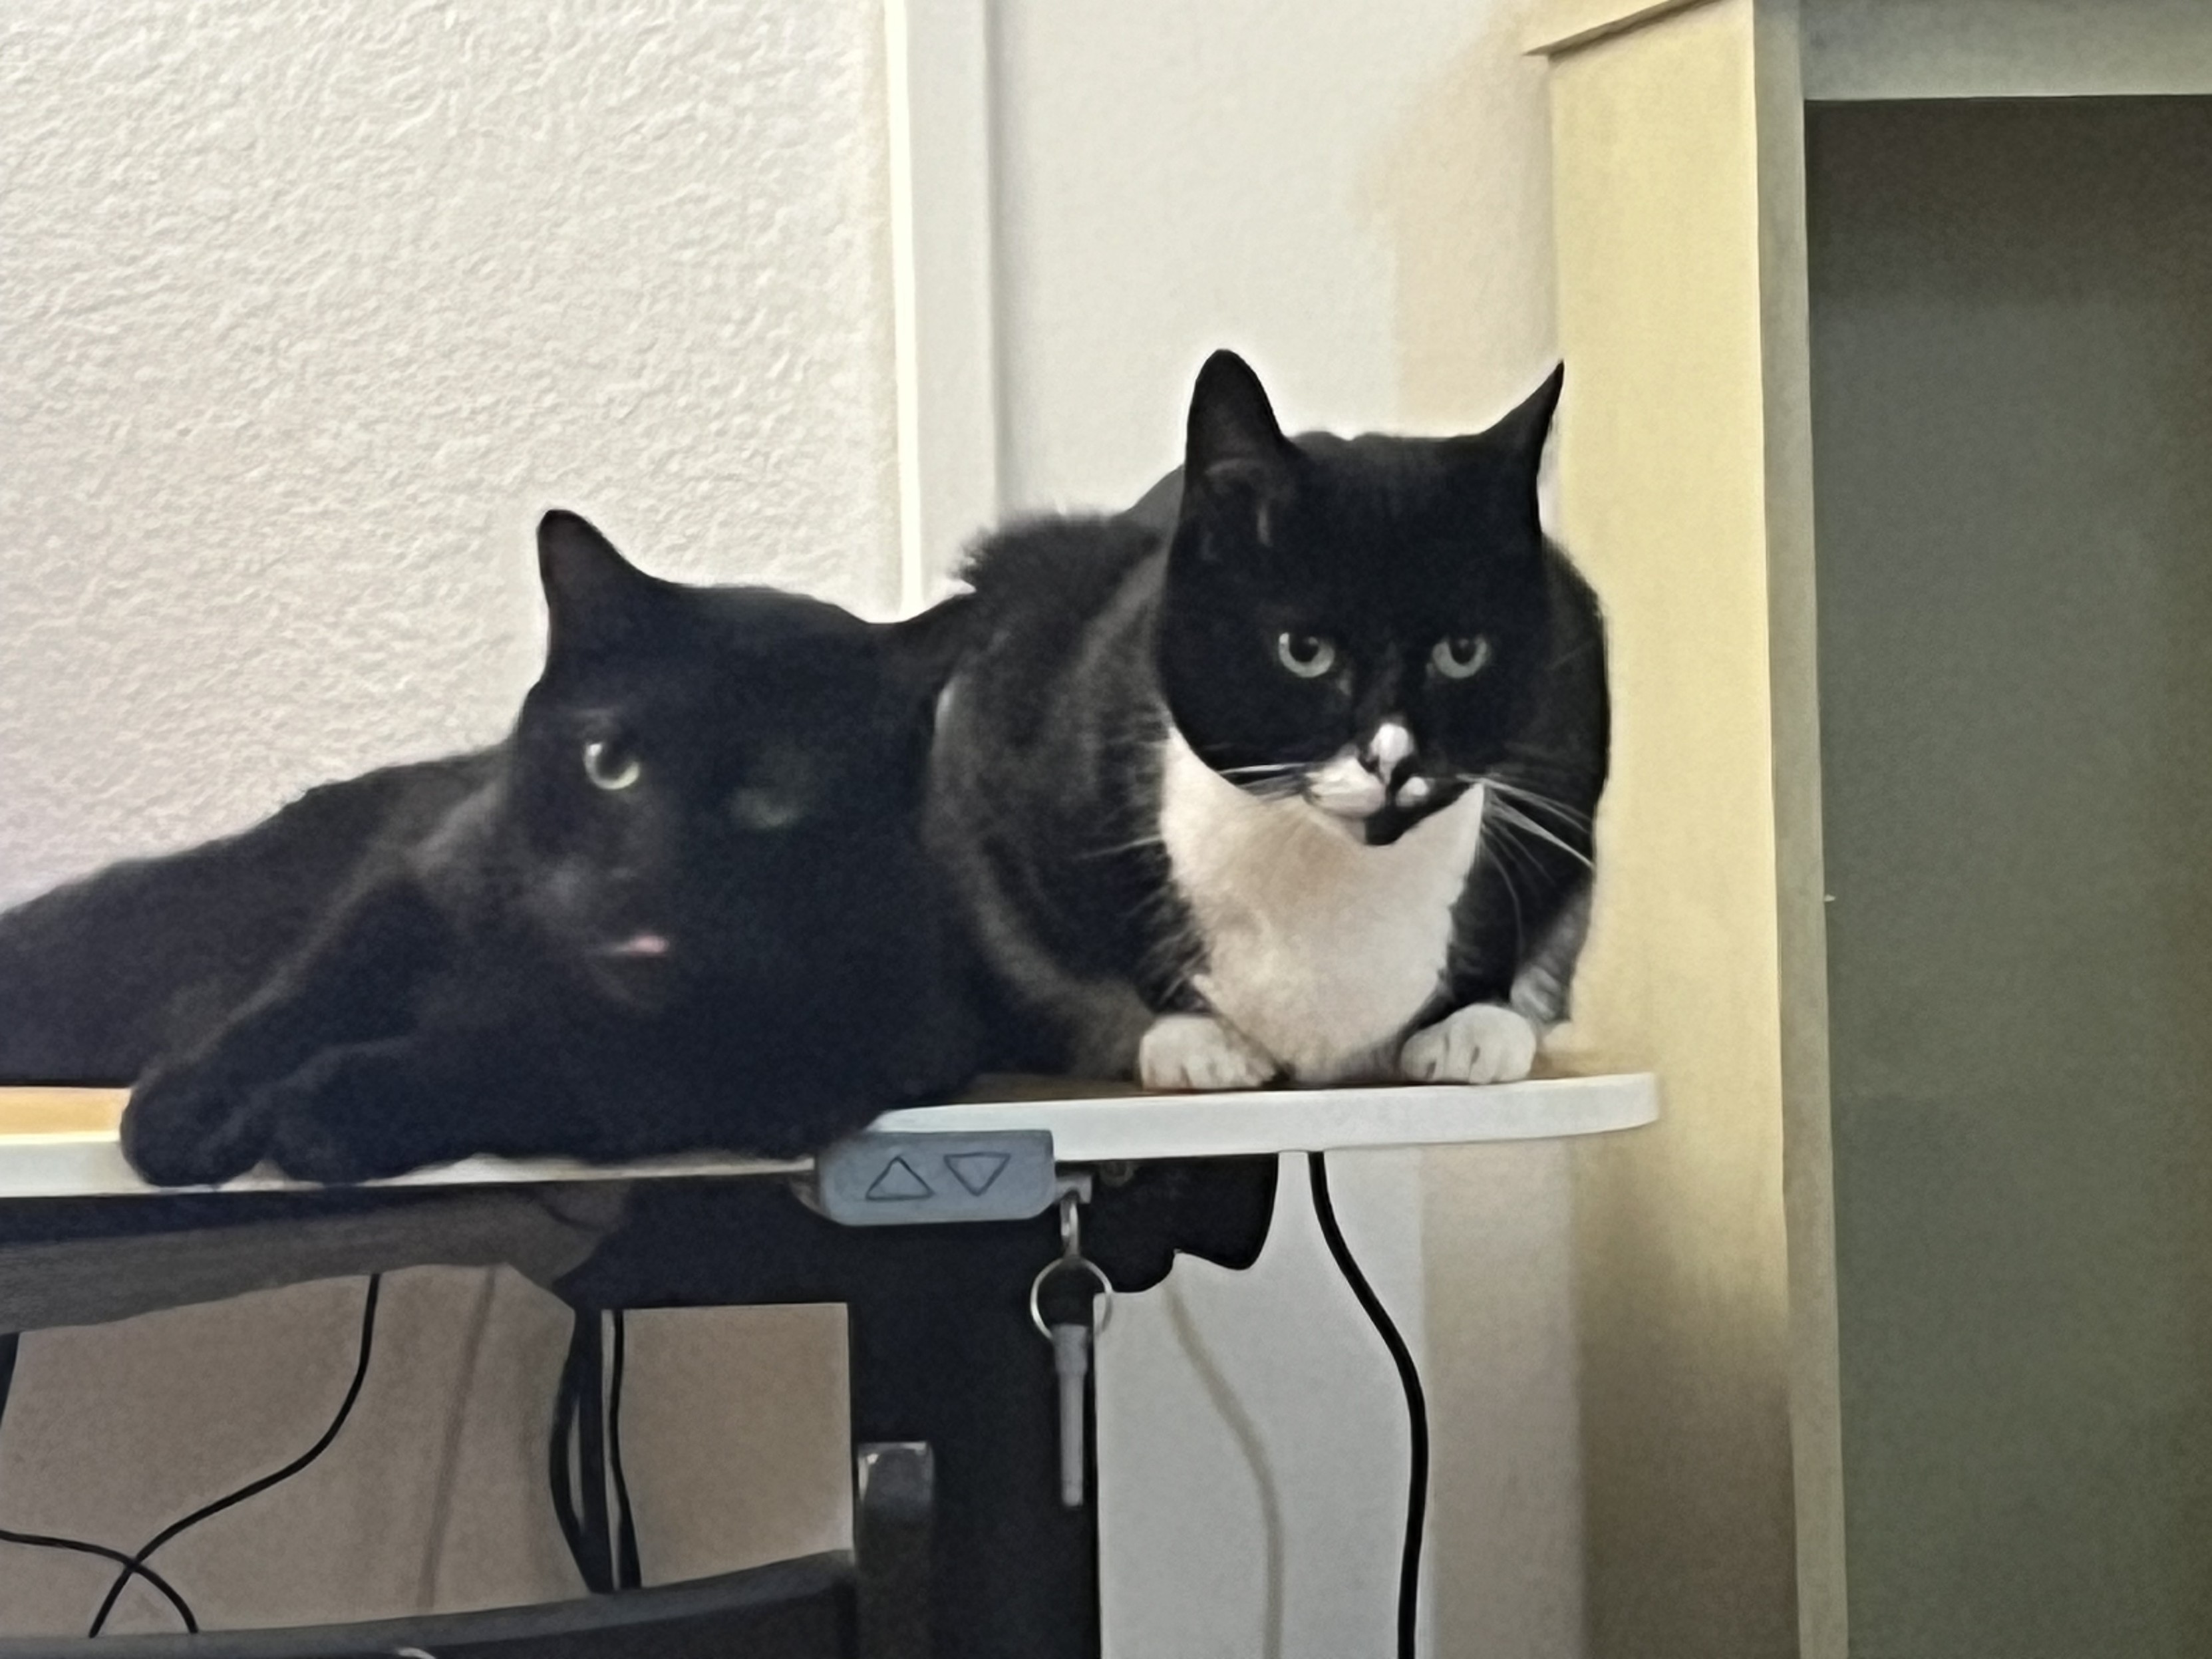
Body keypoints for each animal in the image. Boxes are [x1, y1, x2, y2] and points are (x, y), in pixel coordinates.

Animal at [0, 513, 977, 1185]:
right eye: (609, 762)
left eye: (774, 796)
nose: (643, 879)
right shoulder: (414, 882)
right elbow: (303, 993)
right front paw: (187, 1110)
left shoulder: (799, 1063)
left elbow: (537, 1058)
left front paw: (328, 1107)